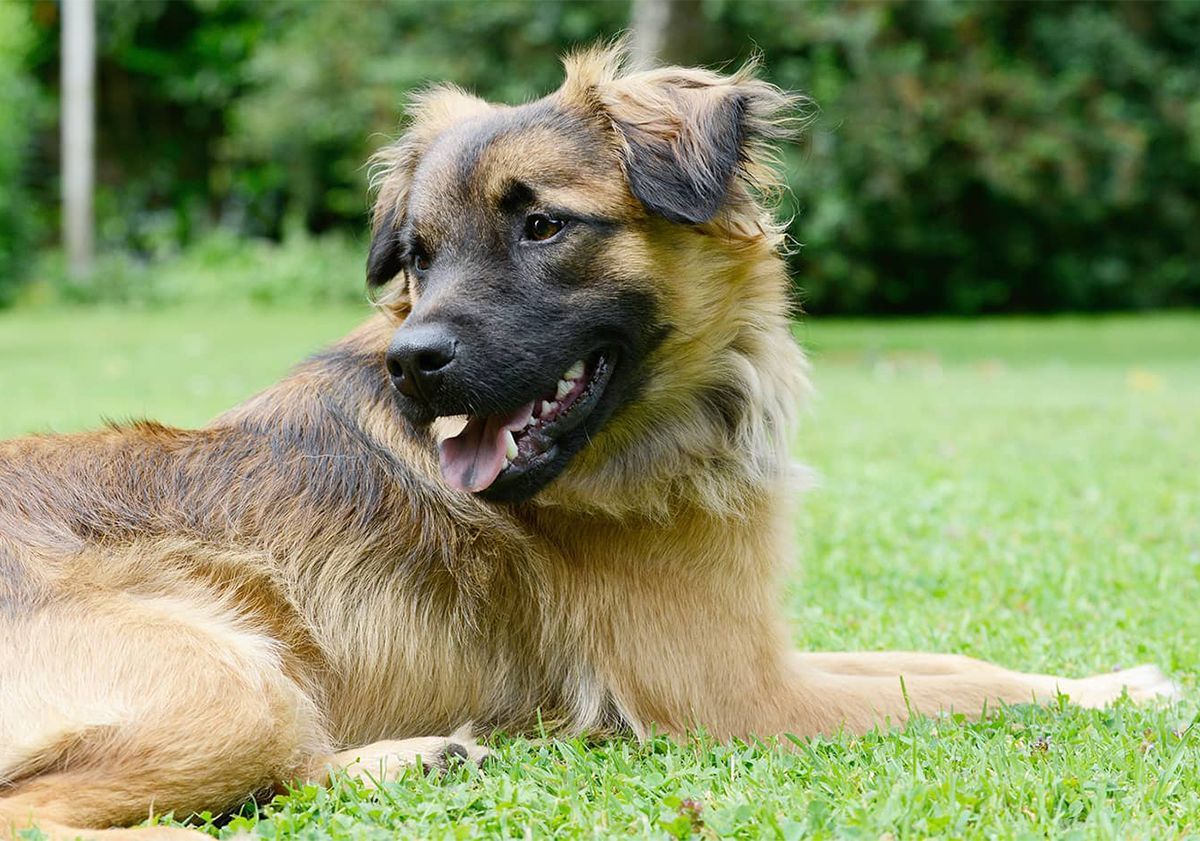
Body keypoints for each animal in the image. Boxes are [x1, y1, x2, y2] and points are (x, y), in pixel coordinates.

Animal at [0, 47, 1180, 839]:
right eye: (418, 253)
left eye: (541, 226)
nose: (411, 363)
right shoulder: (744, 698)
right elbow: (958, 690)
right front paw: (1115, 691)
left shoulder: (756, 648)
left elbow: (950, 659)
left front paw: (1113, 676)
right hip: (227, 679)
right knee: (60, 814)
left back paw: (408, 761)